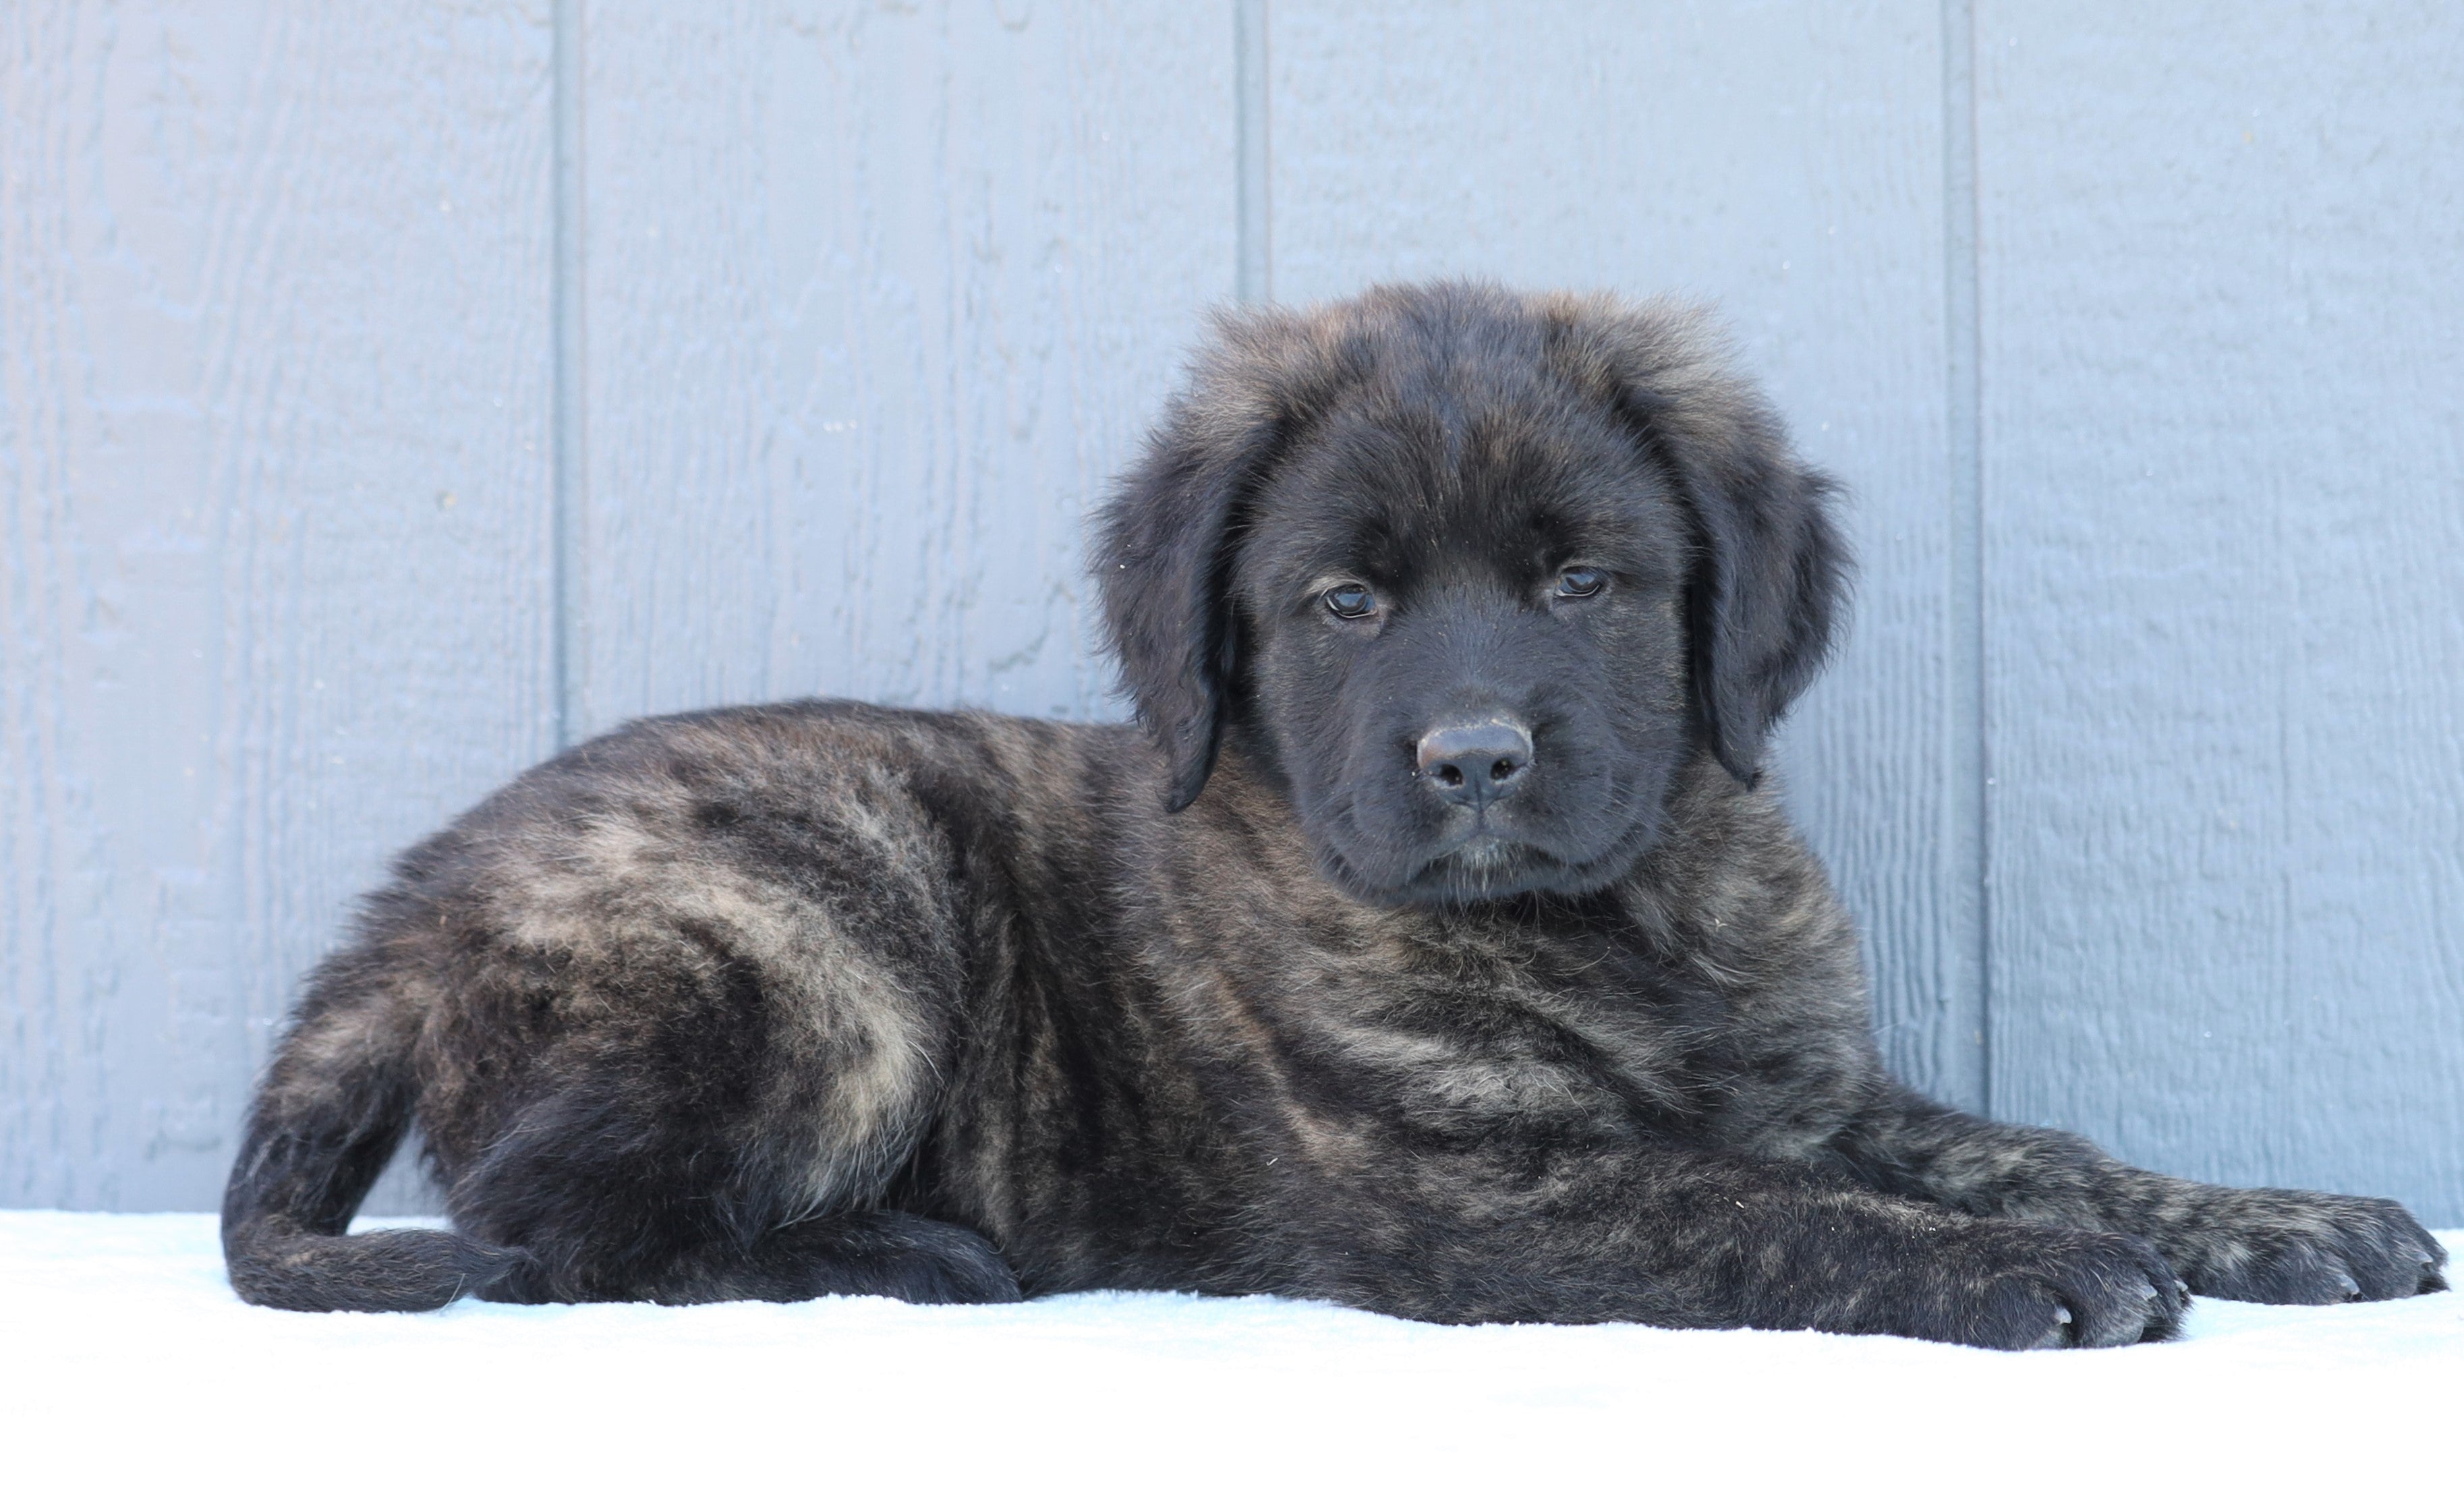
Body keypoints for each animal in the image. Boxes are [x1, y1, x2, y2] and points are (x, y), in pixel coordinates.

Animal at [227, 278, 2444, 1350]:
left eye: (1581, 581)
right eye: (1344, 604)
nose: (1469, 756)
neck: (1614, 921)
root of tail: (401, 921)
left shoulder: (1816, 1085)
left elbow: (2022, 1137)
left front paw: (2266, 1211)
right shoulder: (1471, 1186)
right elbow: (1769, 1212)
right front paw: (2015, 1268)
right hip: (824, 939)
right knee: (541, 1230)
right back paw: (897, 1252)